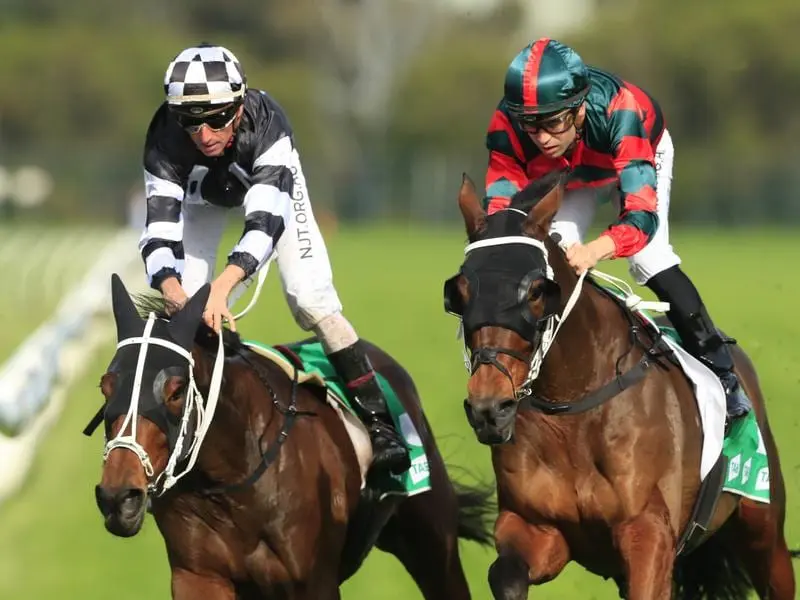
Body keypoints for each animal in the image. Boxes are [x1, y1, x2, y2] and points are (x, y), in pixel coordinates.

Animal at [87, 274, 494, 596]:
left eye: (174, 391)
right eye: (106, 387)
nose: (118, 497)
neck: (235, 481)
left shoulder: (312, 581)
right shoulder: (198, 576)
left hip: (432, 540)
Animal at [444, 170, 792, 600]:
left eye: (537, 291)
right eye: (459, 293)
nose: (489, 409)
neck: (572, 407)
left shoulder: (648, 533)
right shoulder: (538, 529)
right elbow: (506, 576)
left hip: (763, 530)